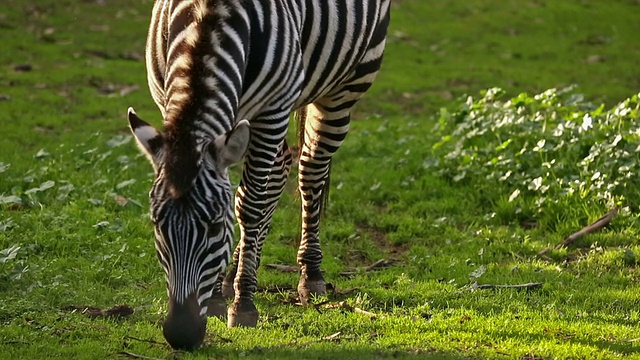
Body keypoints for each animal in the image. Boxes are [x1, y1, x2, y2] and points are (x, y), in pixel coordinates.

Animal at [127, 0, 390, 350]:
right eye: (157, 224)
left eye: (215, 227)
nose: (181, 335)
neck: (205, 23)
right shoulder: (165, 103)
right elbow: (243, 200)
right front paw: (218, 296)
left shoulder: (272, 110)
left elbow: (249, 207)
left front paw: (243, 305)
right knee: (279, 172)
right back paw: (235, 273)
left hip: (346, 85)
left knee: (309, 171)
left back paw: (310, 272)